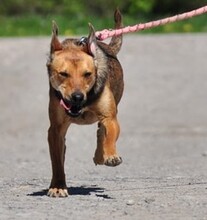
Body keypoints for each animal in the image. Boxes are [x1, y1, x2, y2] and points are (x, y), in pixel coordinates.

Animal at [46, 9, 123, 197]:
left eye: (88, 74)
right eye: (63, 74)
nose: (77, 97)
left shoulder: (109, 117)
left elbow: (110, 132)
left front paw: (110, 155)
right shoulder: (55, 129)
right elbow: (57, 160)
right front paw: (58, 186)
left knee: (101, 132)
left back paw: (100, 155)